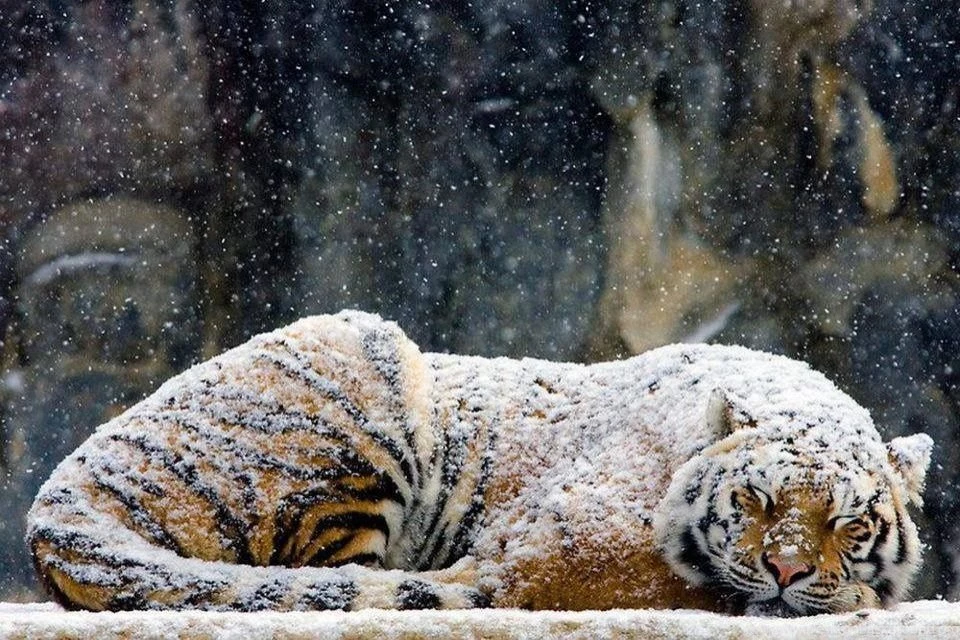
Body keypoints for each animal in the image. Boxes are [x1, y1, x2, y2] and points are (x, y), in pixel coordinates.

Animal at [26, 310, 932, 615]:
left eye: (846, 522)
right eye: (754, 502)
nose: (784, 570)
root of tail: (61, 492)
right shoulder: (551, 548)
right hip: (363, 363)